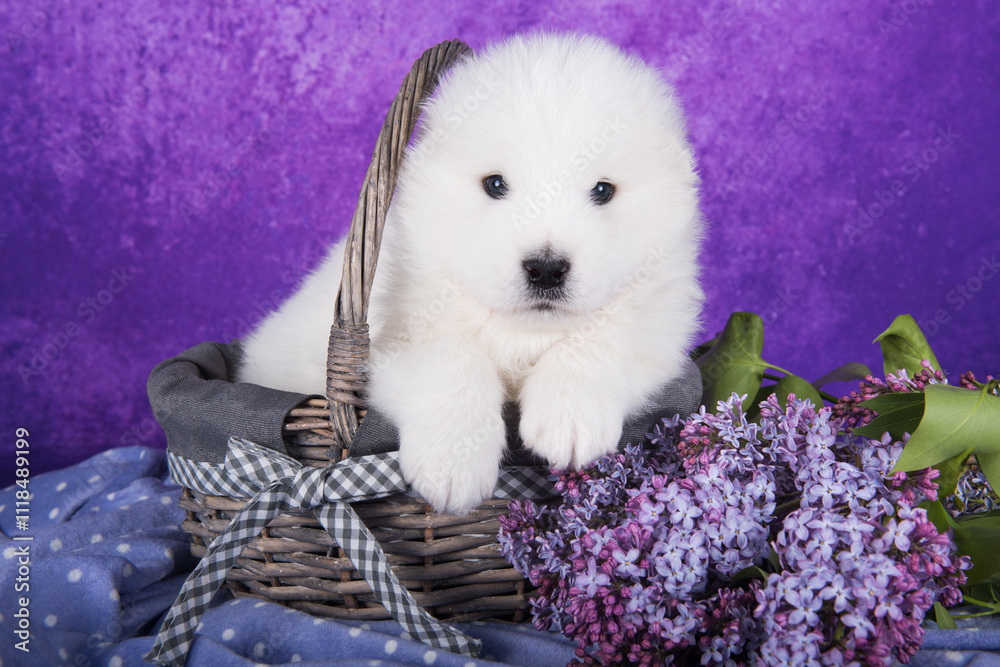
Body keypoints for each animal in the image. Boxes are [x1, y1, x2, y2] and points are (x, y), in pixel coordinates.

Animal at [234, 32, 704, 516]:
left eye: (603, 190)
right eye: (495, 185)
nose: (546, 269)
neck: (521, 332)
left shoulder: (660, 332)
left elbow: (599, 338)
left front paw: (570, 418)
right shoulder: (389, 347)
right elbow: (452, 357)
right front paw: (452, 464)